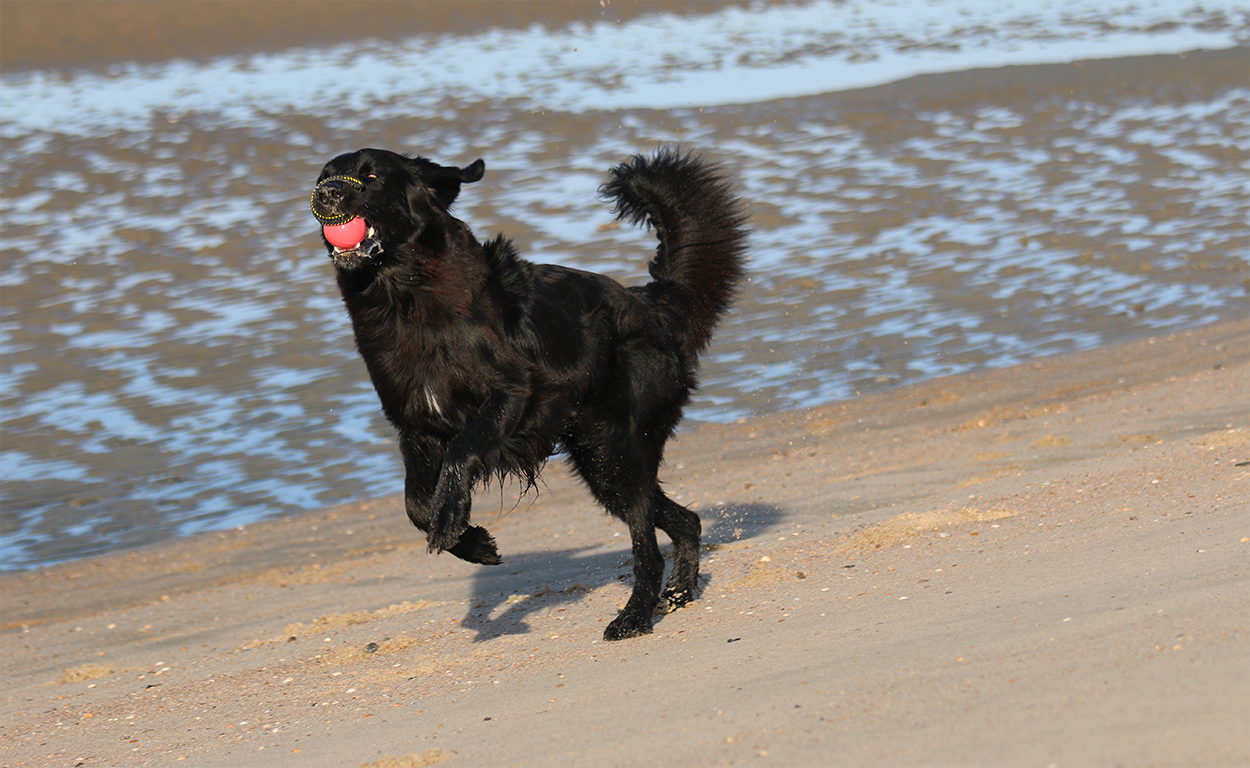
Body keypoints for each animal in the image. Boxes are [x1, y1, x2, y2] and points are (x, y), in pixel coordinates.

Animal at [309, 147, 747, 640]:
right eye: (324, 176)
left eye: (371, 176)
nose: (327, 194)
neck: (404, 295)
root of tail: (651, 303)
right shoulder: (416, 425)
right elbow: (415, 504)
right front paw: (474, 543)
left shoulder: (514, 394)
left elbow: (461, 453)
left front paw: (453, 519)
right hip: (601, 460)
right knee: (684, 519)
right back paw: (678, 591)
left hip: (612, 450)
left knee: (645, 543)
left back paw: (634, 615)